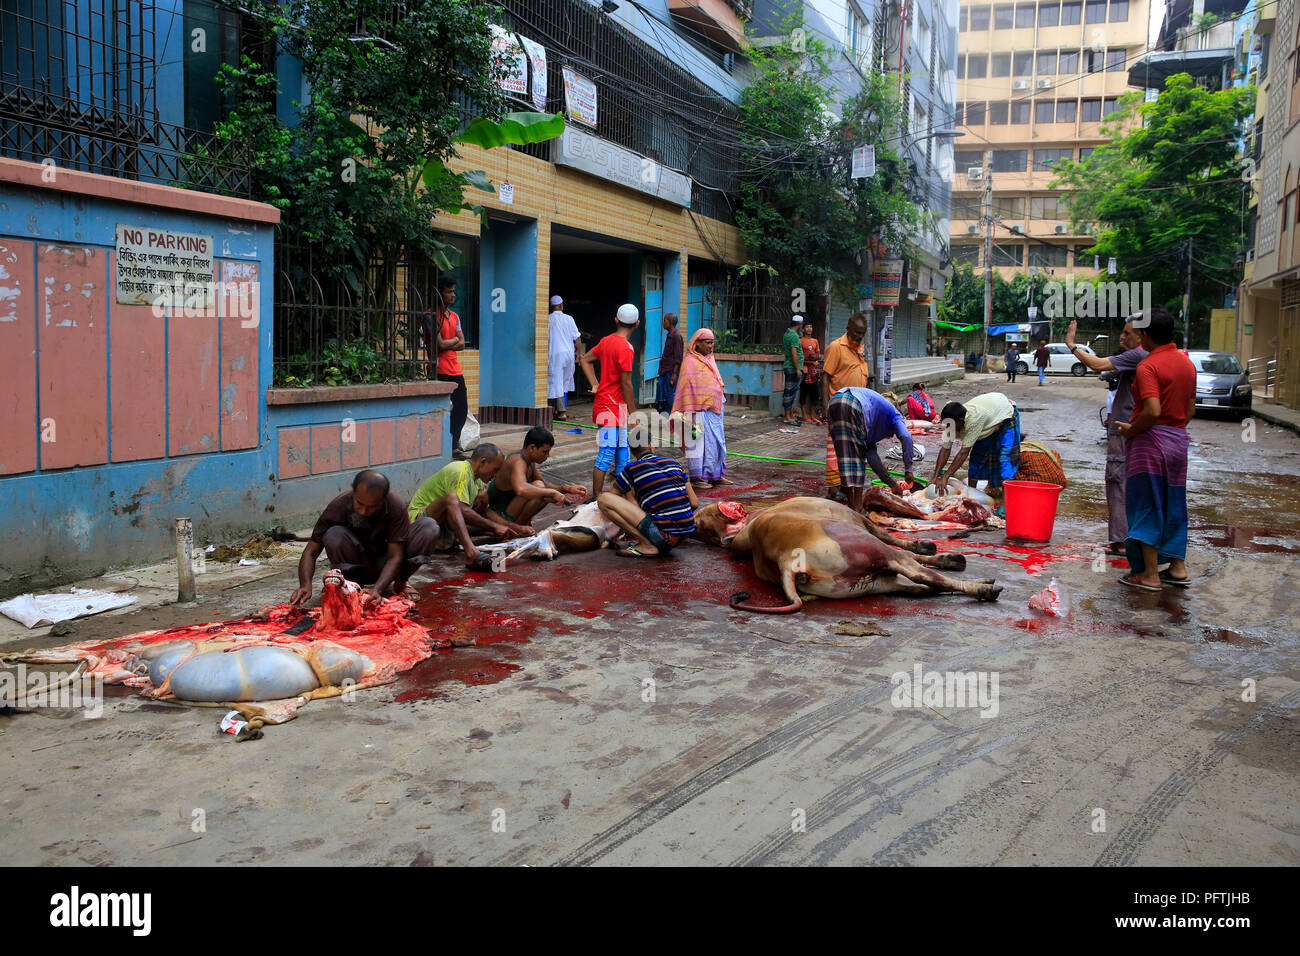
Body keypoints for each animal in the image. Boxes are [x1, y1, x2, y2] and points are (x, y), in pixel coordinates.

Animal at [696, 494, 998, 613]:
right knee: (923, 576)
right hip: (869, 549)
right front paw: (931, 551)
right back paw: (982, 587)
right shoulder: (861, 523)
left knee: (919, 586)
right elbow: (895, 540)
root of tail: (786, 560)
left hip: (868, 583)